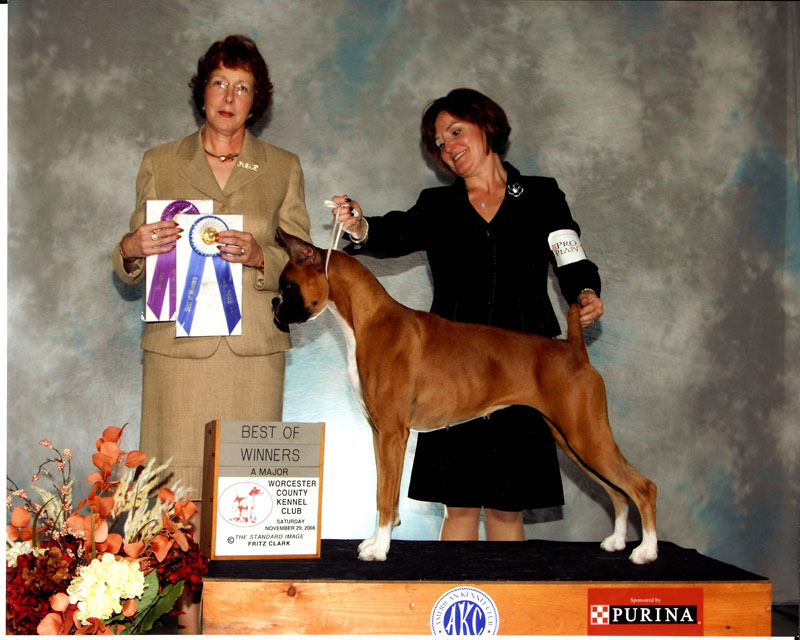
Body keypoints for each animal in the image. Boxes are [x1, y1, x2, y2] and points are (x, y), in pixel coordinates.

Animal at [272, 228, 660, 564]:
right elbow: (384, 493)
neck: (369, 320)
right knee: (617, 492)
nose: (275, 304)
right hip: (574, 442)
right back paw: (616, 541)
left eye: (288, 286)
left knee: (642, 487)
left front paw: (379, 549)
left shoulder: (393, 435)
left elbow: (386, 496)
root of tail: (576, 349)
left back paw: (646, 551)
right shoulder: (379, 434)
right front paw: (375, 541)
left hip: (587, 437)